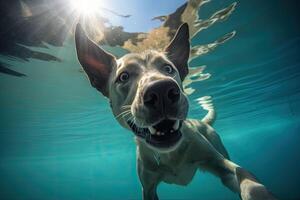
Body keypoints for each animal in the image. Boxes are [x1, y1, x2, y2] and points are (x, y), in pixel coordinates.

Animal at [74, 22, 276, 199]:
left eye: (168, 68)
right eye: (123, 77)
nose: (161, 90)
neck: (169, 154)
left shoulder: (220, 164)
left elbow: (245, 178)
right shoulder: (148, 188)